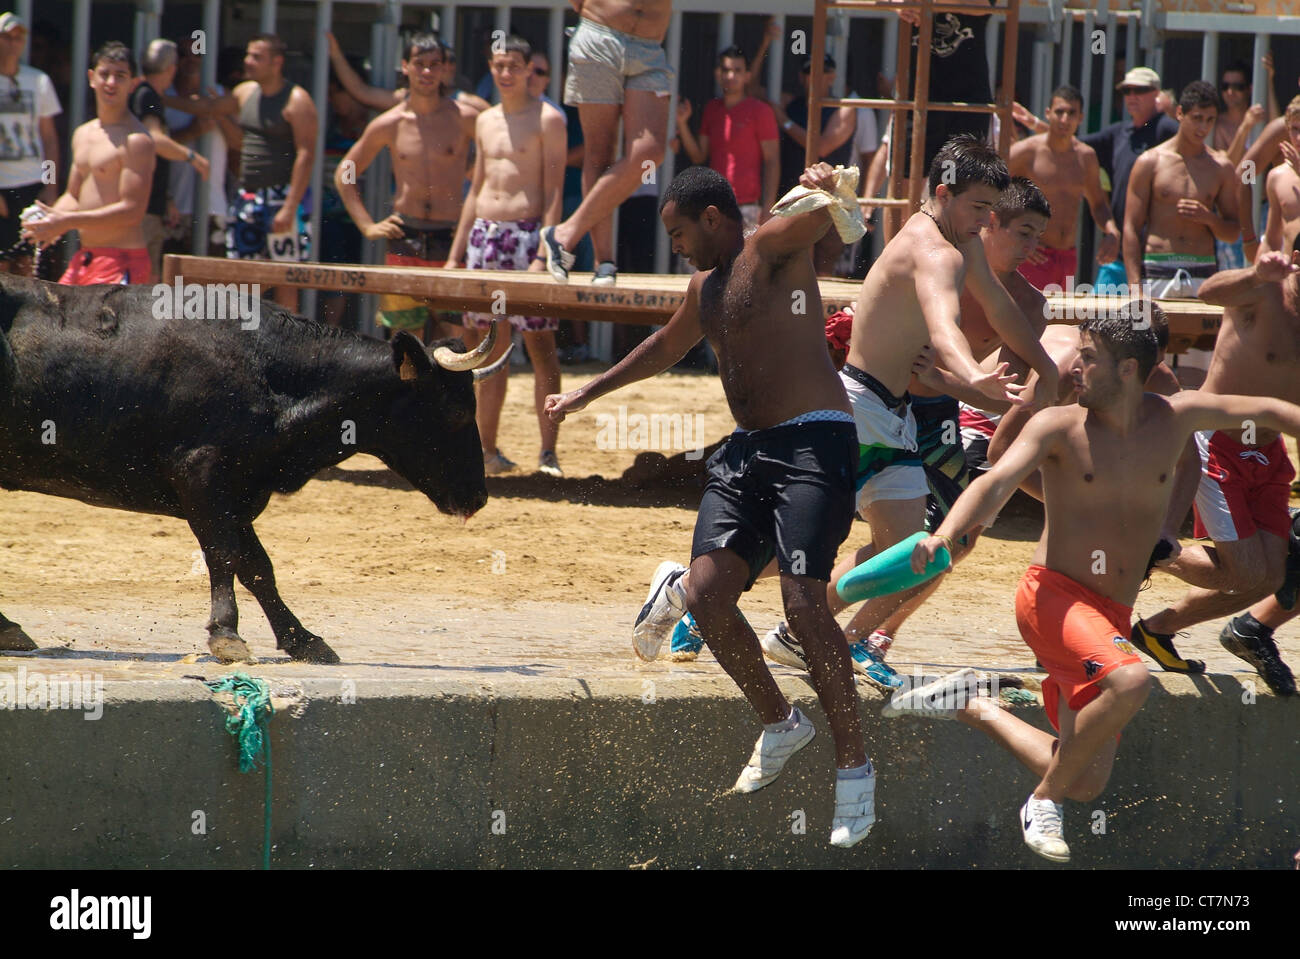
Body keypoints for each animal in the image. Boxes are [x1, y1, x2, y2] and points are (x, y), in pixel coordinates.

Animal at [0, 272, 504, 660]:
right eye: (457, 412)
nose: (479, 496)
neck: (268, 374)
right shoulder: (201, 475)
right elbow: (224, 554)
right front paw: (227, 634)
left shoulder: (238, 490)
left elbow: (258, 566)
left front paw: (301, 638)